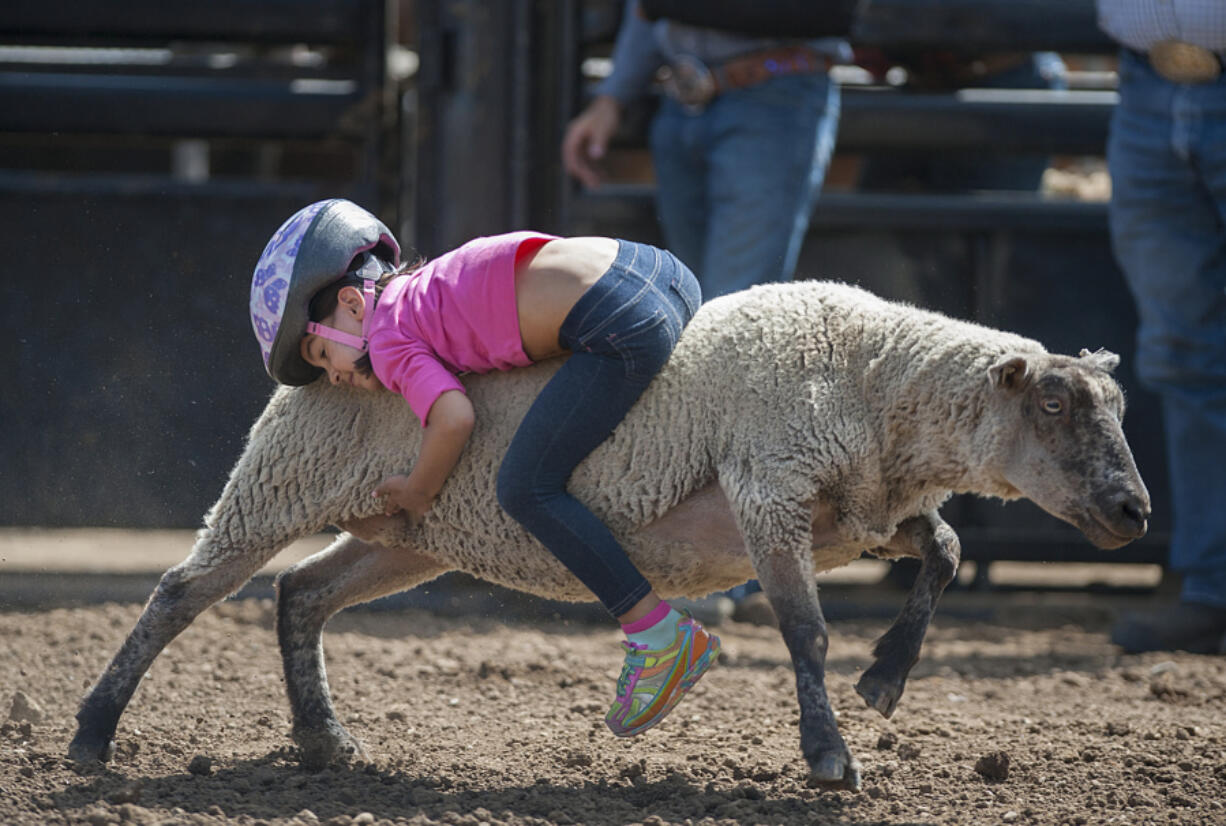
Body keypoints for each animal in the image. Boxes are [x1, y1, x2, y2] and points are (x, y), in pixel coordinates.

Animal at [69, 279, 1147, 789]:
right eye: (1054, 403)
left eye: (1115, 406)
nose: (1137, 511)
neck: (873, 379)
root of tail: (328, 351)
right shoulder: (768, 490)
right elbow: (803, 632)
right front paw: (829, 754)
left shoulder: (859, 514)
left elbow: (949, 553)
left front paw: (883, 679)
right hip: (279, 479)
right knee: (180, 592)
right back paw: (91, 735)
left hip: (407, 529)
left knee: (300, 592)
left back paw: (323, 740)